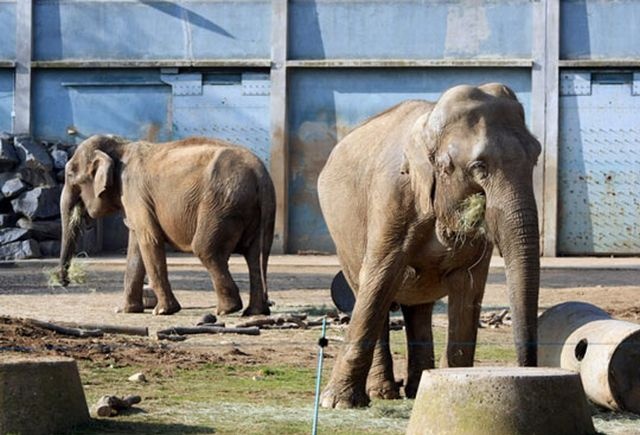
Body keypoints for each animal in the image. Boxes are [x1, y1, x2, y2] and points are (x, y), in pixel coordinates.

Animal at [60, 135, 278, 316]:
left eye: (70, 174)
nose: (64, 281)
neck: (121, 145)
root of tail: (261, 174)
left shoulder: (134, 191)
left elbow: (149, 239)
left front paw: (162, 311)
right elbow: (136, 245)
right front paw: (125, 310)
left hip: (221, 205)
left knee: (205, 249)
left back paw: (227, 310)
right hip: (254, 210)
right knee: (255, 255)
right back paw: (255, 312)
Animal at [316, 82, 540, 408]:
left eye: (536, 156)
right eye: (479, 167)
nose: (530, 370)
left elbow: (468, 286)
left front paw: (457, 388)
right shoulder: (393, 193)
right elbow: (381, 275)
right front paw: (337, 403)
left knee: (418, 308)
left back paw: (414, 388)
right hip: (342, 238)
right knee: (368, 291)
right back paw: (383, 393)